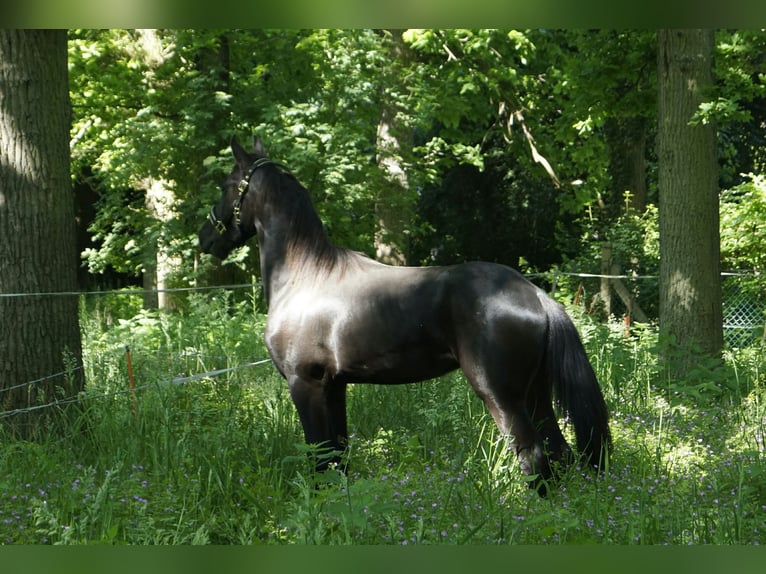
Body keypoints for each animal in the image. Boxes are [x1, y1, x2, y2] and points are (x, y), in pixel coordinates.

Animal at [198, 135, 611, 495]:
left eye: (226, 185)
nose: (205, 237)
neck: (306, 275)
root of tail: (536, 295)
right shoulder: (334, 387)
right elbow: (338, 458)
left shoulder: (306, 384)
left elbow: (320, 459)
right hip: (536, 394)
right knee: (559, 453)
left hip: (502, 396)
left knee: (534, 457)